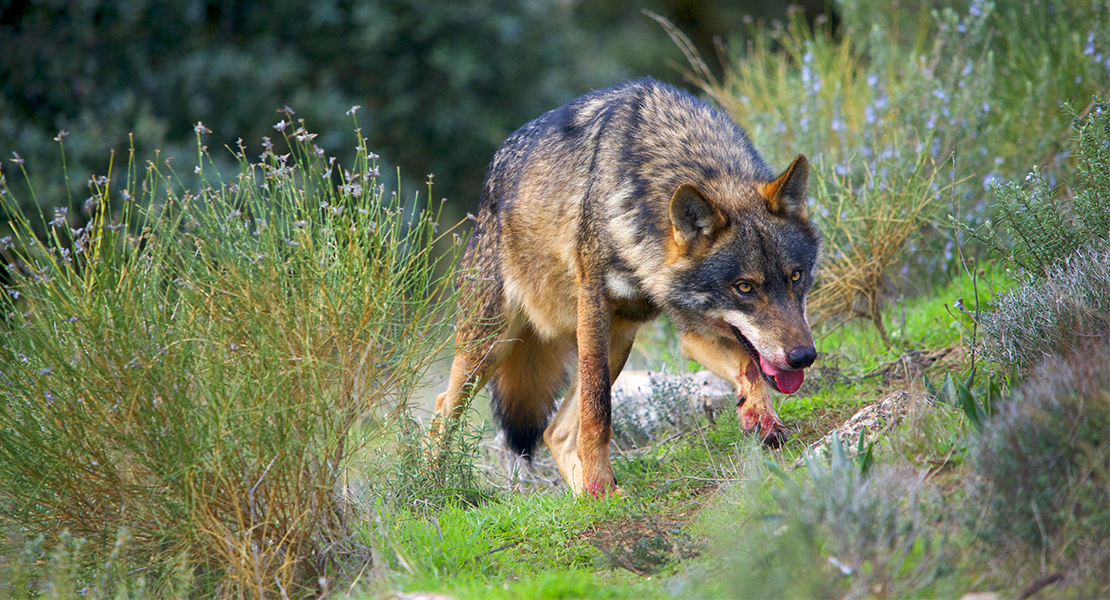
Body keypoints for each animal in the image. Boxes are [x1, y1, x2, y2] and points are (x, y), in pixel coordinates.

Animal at [432, 77, 825, 494]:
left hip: (618, 341)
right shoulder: (594, 304)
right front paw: (599, 481)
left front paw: (760, 417)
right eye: (745, 288)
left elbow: (749, 366)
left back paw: (589, 498)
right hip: (492, 345)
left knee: (555, 433)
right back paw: (433, 485)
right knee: (444, 409)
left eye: (796, 276)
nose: (803, 357)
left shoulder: (692, 330)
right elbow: (597, 413)